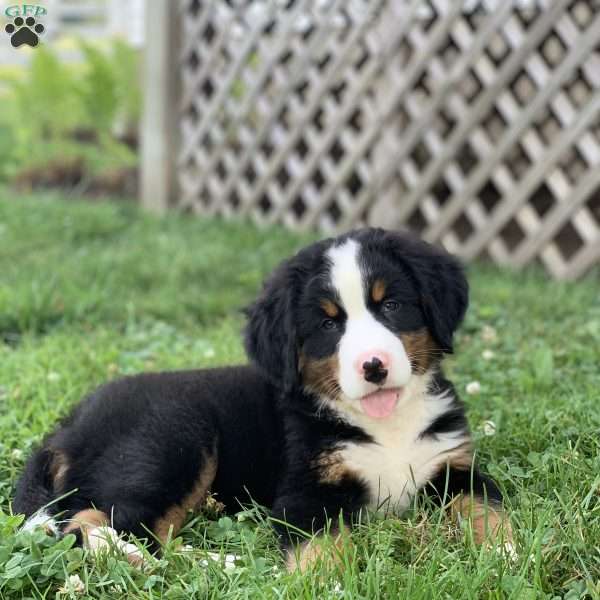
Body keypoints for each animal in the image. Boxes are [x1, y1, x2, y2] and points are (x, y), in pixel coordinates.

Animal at [14, 230, 510, 572]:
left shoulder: (453, 467)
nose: (374, 366)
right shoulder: (305, 491)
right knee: (99, 520)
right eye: (328, 325)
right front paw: (326, 582)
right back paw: (175, 561)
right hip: (171, 442)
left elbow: (486, 509)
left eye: (391, 306)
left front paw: (505, 551)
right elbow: (321, 547)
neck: (386, 428)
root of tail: (70, 424)